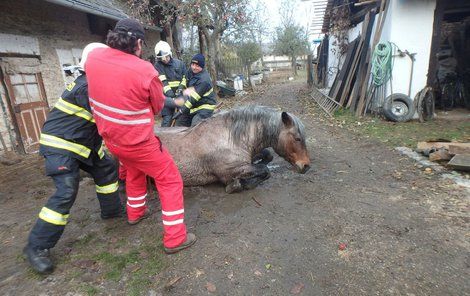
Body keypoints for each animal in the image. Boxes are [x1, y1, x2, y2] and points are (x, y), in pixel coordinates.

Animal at [155, 105, 312, 193]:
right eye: (297, 138)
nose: (306, 166)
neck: (228, 137)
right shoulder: (231, 170)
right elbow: (265, 171)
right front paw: (238, 185)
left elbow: (268, 156)